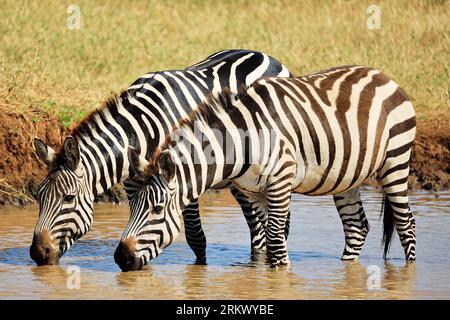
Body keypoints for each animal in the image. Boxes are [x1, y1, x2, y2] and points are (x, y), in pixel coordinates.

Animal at [30, 48, 292, 268]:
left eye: (69, 198)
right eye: (39, 196)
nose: (37, 253)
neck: (142, 130)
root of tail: (263, 54)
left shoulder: (184, 178)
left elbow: (195, 237)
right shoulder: (135, 186)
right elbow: (140, 227)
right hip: (241, 181)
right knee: (257, 228)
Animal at [118, 65, 416, 270]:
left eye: (157, 209)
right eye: (131, 207)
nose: (121, 258)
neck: (241, 140)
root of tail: (383, 76)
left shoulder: (280, 181)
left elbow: (274, 238)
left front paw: (281, 277)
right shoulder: (253, 190)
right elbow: (267, 239)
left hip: (396, 162)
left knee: (406, 223)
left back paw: (408, 273)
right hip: (347, 178)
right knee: (356, 228)